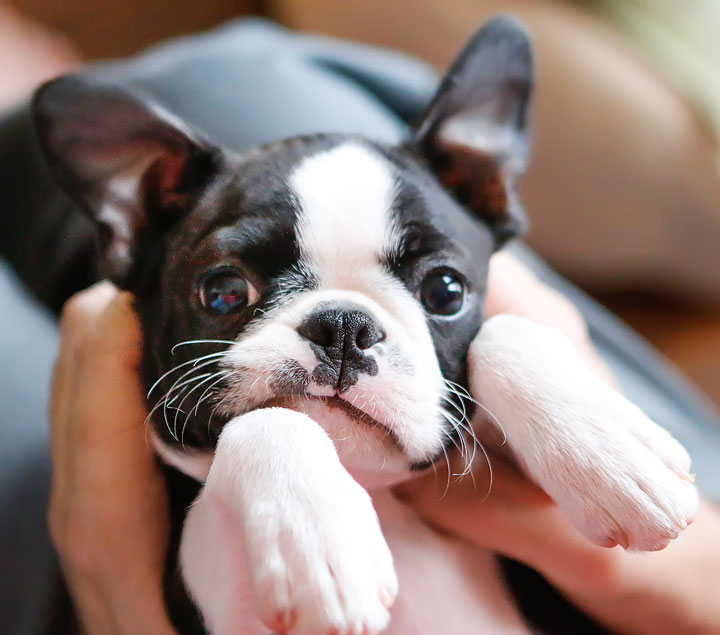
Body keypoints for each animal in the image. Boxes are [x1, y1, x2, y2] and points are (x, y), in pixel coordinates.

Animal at [32, 14, 696, 635]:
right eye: (223, 292)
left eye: (446, 292)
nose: (344, 326)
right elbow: (268, 420)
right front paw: (316, 539)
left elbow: (507, 329)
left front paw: (613, 453)